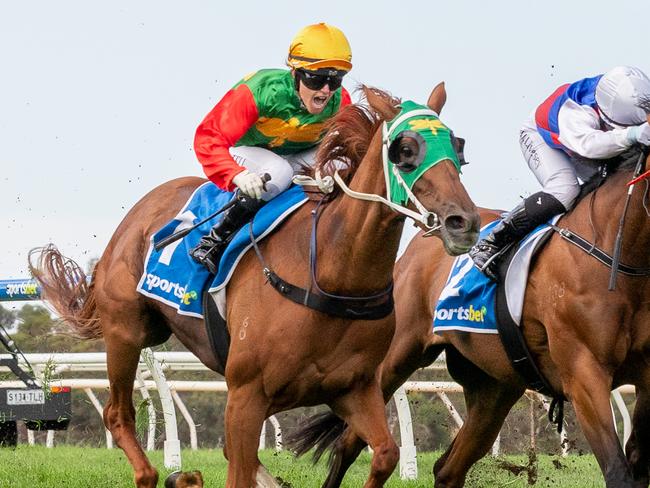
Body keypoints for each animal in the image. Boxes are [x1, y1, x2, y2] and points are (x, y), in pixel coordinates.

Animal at [27, 84, 478, 488]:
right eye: (405, 150)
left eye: (458, 148)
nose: (465, 222)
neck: (333, 275)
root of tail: (138, 212)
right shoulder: (245, 395)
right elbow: (238, 468)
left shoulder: (354, 389)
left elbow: (385, 454)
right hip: (126, 331)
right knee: (118, 415)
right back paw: (156, 475)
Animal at [292, 139, 648, 486]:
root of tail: (426, 237)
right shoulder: (583, 374)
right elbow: (618, 471)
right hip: (390, 362)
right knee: (348, 444)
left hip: (494, 387)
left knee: (448, 469)